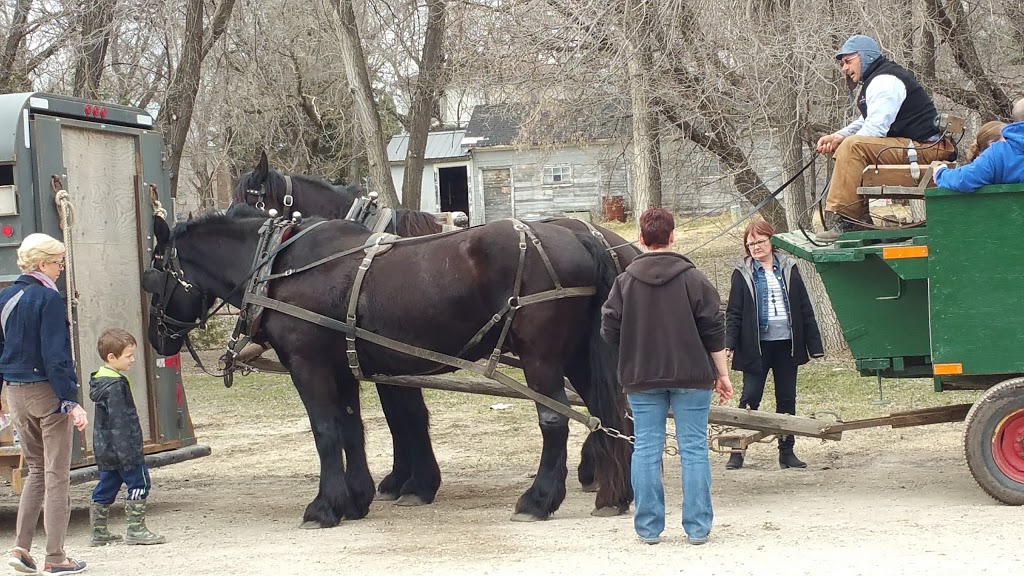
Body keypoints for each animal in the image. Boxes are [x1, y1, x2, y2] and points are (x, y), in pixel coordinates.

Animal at [144, 207, 630, 524]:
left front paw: (325, 507)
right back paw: (616, 494)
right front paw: (355, 500)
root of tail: (584, 236)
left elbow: (326, 431)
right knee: (611, 415)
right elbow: (351, 429)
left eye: (152, 277)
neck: (281, 267)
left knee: (555, 421)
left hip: (541, 358)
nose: (155, 337)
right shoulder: (343, 367)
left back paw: (539, 500)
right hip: (578, 356)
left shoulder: (308, 364)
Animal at [232, 153, 638, 494]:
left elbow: (405, 414)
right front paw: (403, 477)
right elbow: (398, 415)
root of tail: (609, 243)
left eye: (253, 200)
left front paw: (413, 482)